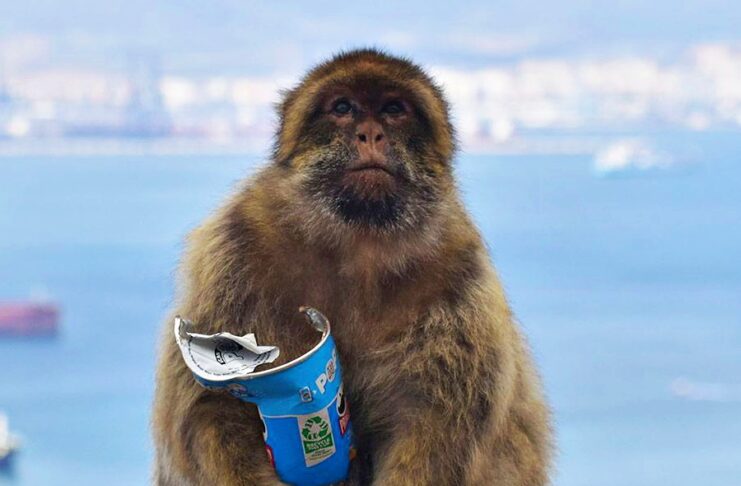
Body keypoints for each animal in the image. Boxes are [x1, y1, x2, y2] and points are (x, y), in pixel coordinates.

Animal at [152, 48, 552, 486]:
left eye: (394, 109)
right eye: (343, 108)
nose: (370, 134)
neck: (358, 240)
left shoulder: (462, 274)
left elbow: (437, 421)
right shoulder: (234, 248)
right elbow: (211, 405)